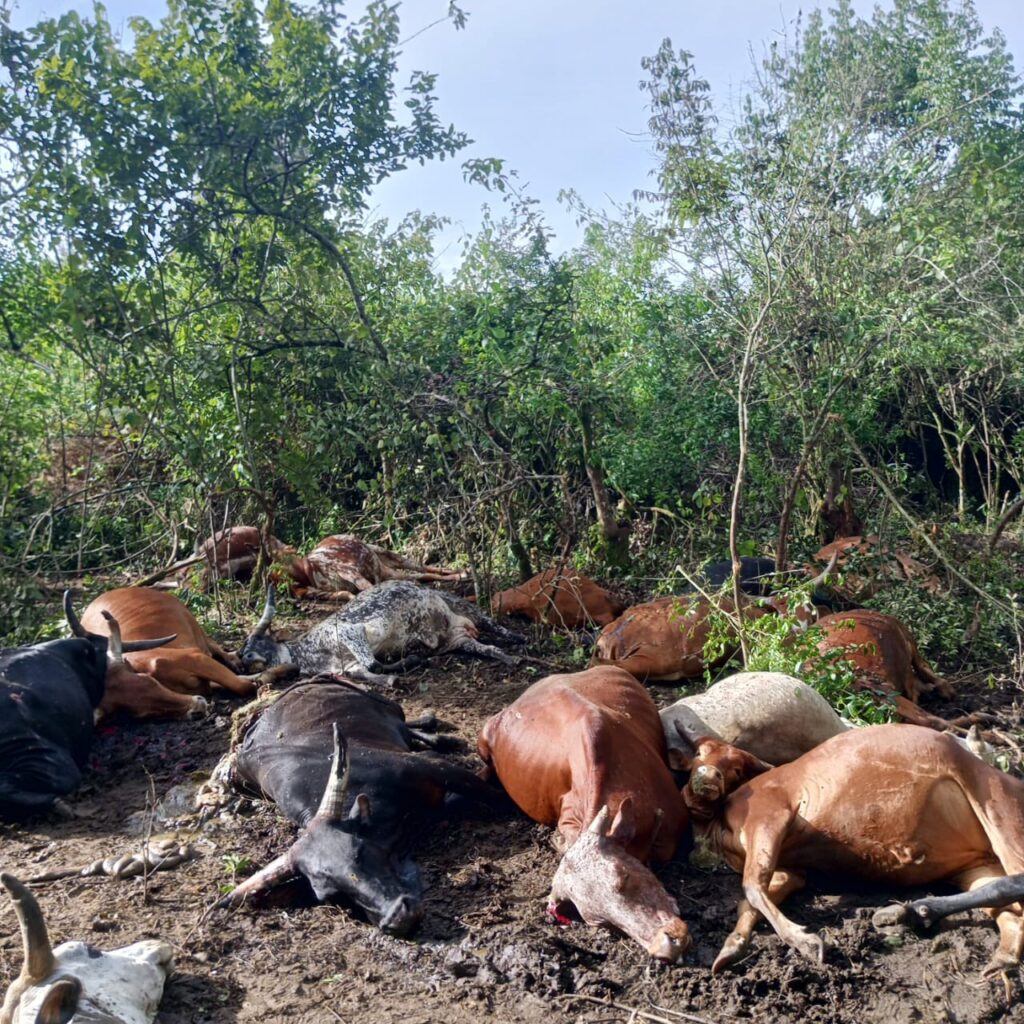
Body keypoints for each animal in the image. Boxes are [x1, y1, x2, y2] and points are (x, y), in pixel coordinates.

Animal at [209, 678, 501, 934]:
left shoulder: (432, 766)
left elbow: (496, 797)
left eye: (359, 851)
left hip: (391, 708)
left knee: (410, 724)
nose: (398, 917)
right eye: (331, 894)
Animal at [238, 581, 524, 685]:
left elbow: (373, 664)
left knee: (492, 623)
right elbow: (368, 670)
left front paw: (411, 661)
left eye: (257, 643)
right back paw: (509, 658)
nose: (243, 661)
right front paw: (393, 677)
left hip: (459, 602)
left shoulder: (351, 632)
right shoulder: (348, 667)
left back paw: (518, 642)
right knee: (486, 648)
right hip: (457, 639)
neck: (308, 653)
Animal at [674, 723, 1024, 977]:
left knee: (1015, 881)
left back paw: (912, 911)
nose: (707, 777)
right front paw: (731, 946)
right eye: (700, 753)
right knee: (1009, 910)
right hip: (977, 864)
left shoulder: (769, 815)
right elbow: (751, 900)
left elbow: (752, 887)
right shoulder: (791, 869)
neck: (717, 827)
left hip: (1000, 813)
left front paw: (805, 941)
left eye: (736, 768)